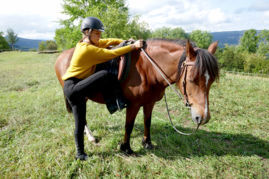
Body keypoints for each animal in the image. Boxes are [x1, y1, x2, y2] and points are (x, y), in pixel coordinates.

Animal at [54, 39, 218, 154]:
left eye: (211, 81)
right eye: (192, 79)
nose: (203, 118)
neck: (148, 69)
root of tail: (62, 56)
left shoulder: (149, 102)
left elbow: (147, 122)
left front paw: (147, 143)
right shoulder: (133, 104)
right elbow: (129, 125)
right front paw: (126, 148)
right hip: (78, 96)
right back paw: (90, 136)